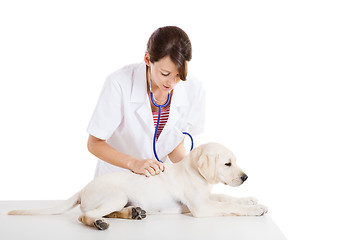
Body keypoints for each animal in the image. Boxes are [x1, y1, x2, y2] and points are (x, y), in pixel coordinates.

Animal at [8, 142, 270, 231]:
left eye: (235, 161)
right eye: (227, 163)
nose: (246, 177)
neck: (194, 172)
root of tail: (83, 189)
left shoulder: (207, 198)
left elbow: (227, 198)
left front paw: (251, 199)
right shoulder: (201, 208)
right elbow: (229, 206)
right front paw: (254, 209)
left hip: (120, 199)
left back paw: (133, 213)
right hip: (116, 195)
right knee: (86, 216)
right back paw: (100, 223)